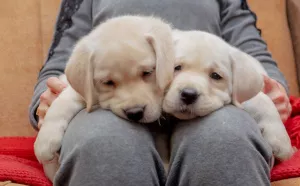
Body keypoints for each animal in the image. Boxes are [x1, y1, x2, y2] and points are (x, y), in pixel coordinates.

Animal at [34, 14, 176, 182]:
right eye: (108, 82)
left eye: (147, 72)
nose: (135, 113)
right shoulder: (86, 92)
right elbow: (64, 101)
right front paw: (45, 140)